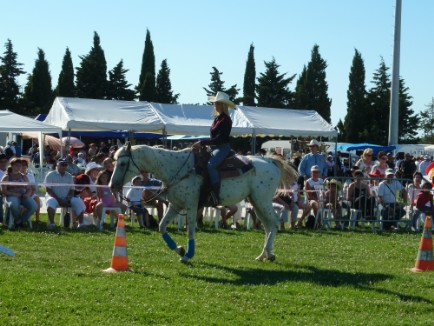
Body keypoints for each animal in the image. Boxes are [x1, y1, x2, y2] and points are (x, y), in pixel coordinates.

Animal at [110, 143, 296, 262]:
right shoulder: (175, 205)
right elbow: (161, 226)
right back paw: (265, 255)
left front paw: (187, 255)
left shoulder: (192, 205)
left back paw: (268, 254)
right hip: (256, 202)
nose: (112, 186)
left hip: (262, 200)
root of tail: (270, 161)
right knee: (268, 225)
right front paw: (180, 250)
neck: (176, 168)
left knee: (273, 223)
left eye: (123, 163)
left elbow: (190, 231)